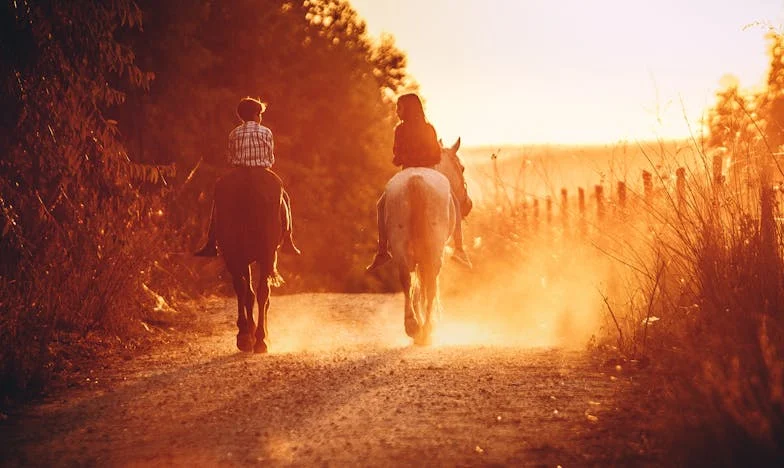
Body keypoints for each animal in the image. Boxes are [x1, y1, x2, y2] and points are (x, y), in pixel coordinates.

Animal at [213, 166, 286, 352]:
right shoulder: (266, 257)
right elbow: (259, 295)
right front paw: (260, 335)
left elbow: (248, 293)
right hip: (264, 255)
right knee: (261, 293)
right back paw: (259, 340)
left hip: (234, 255)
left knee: (243, 289)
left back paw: (246, 337)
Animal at [382, 137, 468, 346]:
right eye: (461, 168)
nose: (468, 204)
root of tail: (415, 181)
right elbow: (427, 286)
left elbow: (417, 286)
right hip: (433, 252)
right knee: (429, 284)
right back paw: (427, 329)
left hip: (401, 248)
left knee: (407, 281)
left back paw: (413, 326)